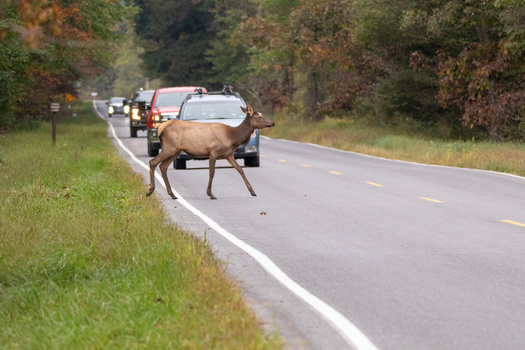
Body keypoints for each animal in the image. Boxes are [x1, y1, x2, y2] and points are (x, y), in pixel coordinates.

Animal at [144, 104, 274, 200]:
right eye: (260, 117)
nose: (273, 123)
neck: (232, 138)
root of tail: (160, 128)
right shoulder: (213, 151)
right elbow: (212, 172)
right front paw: (210, 194)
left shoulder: (228, 154)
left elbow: (240, 169)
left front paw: (252, 191)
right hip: (169, 148)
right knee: (153, 162)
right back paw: (150, 190)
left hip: (175, 150)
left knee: (163, 166)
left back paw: (172, 194)